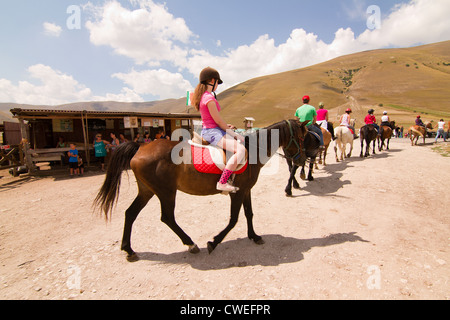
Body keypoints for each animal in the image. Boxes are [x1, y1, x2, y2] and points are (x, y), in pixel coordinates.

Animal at [93, 119, 308, 262]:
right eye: (301, 136)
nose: (301, 161)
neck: (252, 151)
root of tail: (140, 148)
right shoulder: (237, 192)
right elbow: (233, 219)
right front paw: (214, 242)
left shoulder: (245, 190)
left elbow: (249, 214)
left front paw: (254, 237)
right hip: (166, 192)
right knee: (167, 217)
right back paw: (191, 244)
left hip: (147, 191)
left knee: (130, 213)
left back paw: (129, 250)